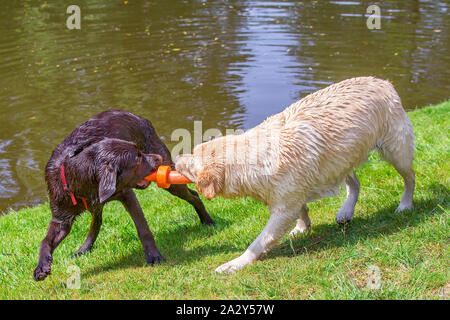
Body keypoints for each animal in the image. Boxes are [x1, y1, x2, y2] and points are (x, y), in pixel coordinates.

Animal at [33, 110, 213, 280]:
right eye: (137, 158)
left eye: (140, 152)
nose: (159, 159)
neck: (81, 184)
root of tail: (141, 118)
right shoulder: (61, 219)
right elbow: (45, 242)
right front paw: (41, 267)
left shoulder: (127, 195)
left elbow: (143, 229)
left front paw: (153, 256)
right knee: (97, 223)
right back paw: (84, 249)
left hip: (170, 183)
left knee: (194, 195)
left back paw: (208, 221)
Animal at [175, 77, 414, 272]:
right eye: (193, 151)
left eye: (192, 165)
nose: (176, 160)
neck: (254, 160)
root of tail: (381, 81)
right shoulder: (289, 195)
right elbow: (301, 208)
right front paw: (302, 227)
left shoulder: (282, 209)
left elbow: (260, 241)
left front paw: (236, 263)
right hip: (341, 157)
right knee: (354, 183)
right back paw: (346, 211)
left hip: (396, 151)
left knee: (409, 177)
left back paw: (405, 204)